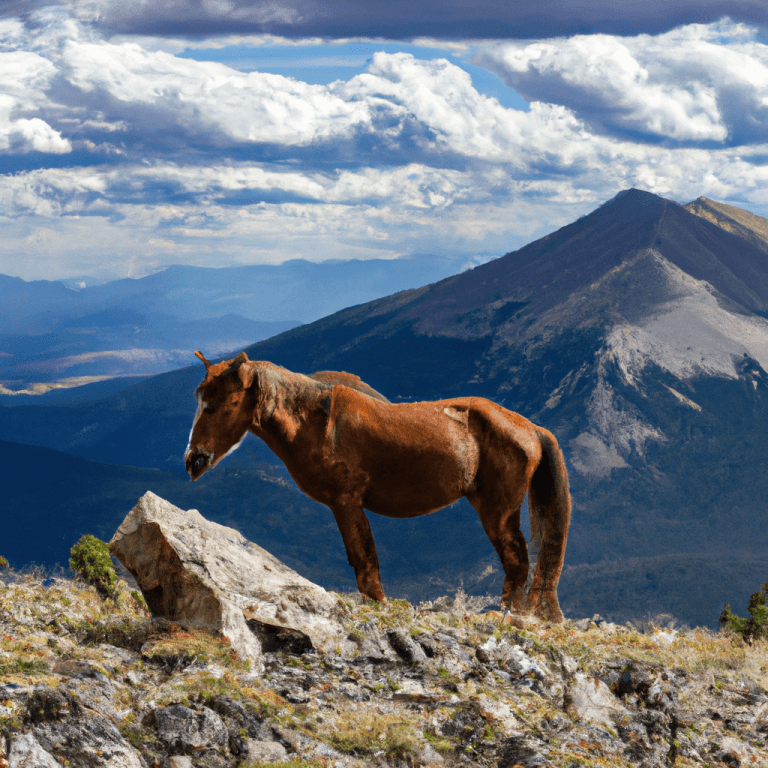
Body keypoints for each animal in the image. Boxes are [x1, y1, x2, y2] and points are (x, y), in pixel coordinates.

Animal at [185, 351, 571, 622]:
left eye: (215, 405)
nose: (193, 460)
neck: (317, 423)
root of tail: (531, 428)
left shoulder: (346, 502)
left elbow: (364, 557)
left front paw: (378, 603)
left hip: (497, 511)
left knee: (516, 560)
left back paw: (507, 614)